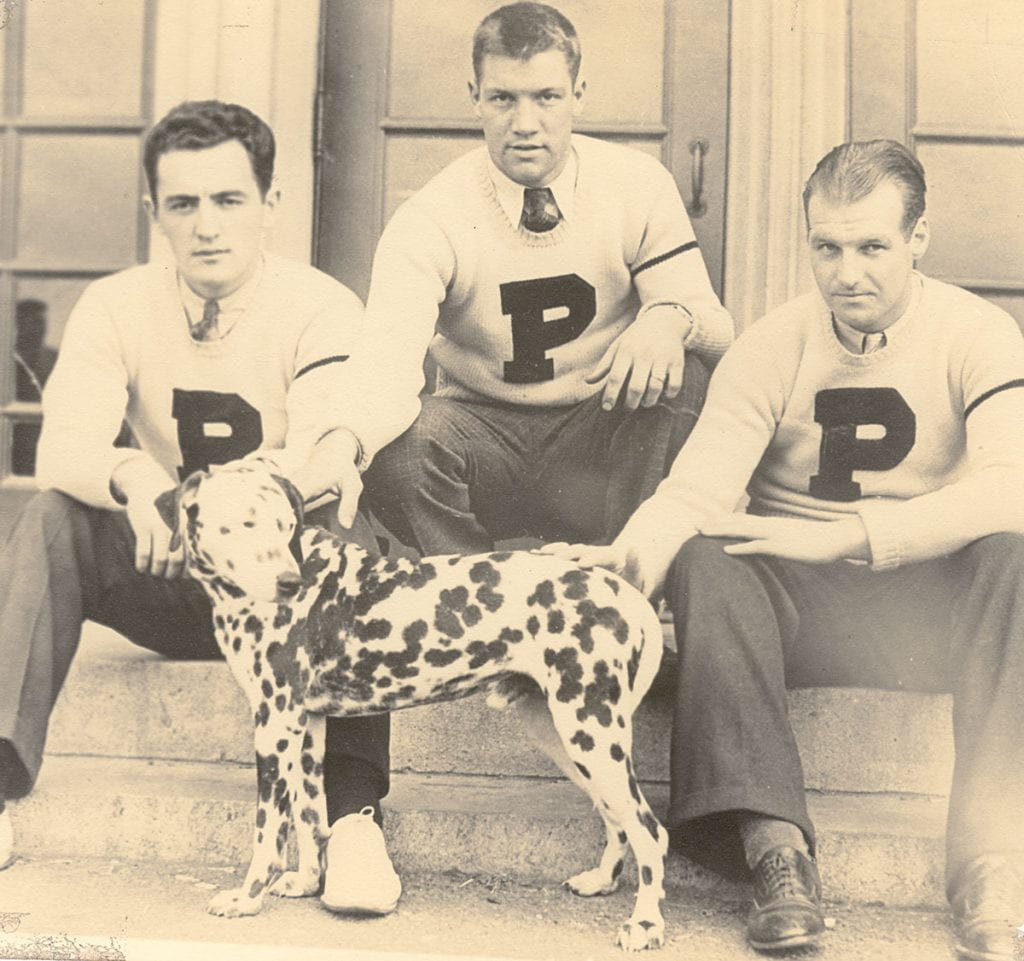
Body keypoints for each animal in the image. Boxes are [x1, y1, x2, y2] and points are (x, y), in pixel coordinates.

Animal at [158, 461, 667, 946]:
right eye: (242, 524)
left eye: (285, 526)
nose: (289, 582)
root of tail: (624, 592)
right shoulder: (305, 728)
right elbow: (309, 815)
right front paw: (306, 881)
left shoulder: (274, 725)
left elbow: (268, 829)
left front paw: (247, 898)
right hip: (567, 738)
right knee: (617, 817)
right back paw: (602, 881)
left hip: (590, 732)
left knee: (650, 830)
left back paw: (645, 924)